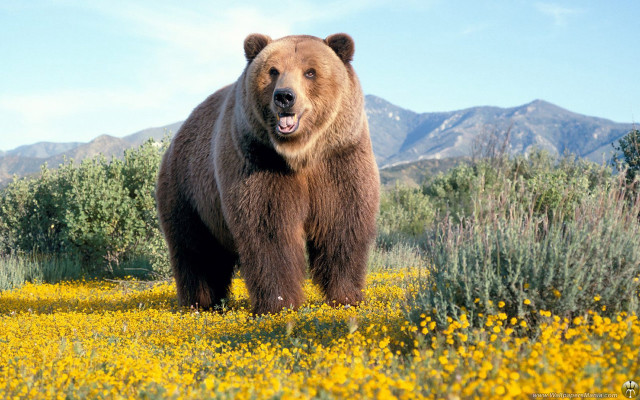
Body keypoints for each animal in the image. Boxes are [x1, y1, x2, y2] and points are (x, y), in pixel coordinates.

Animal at [156, 33, 379, 315]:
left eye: (310, 71)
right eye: (273, 70)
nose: (284, 96)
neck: (301, 154)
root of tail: (177, 135)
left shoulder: (339, 159)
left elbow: (342, 224)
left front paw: (347, 297)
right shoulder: (259, 161)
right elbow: (269, 230)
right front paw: (279, 303)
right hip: (188, 191)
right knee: (196, 250)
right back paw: (200, 303)